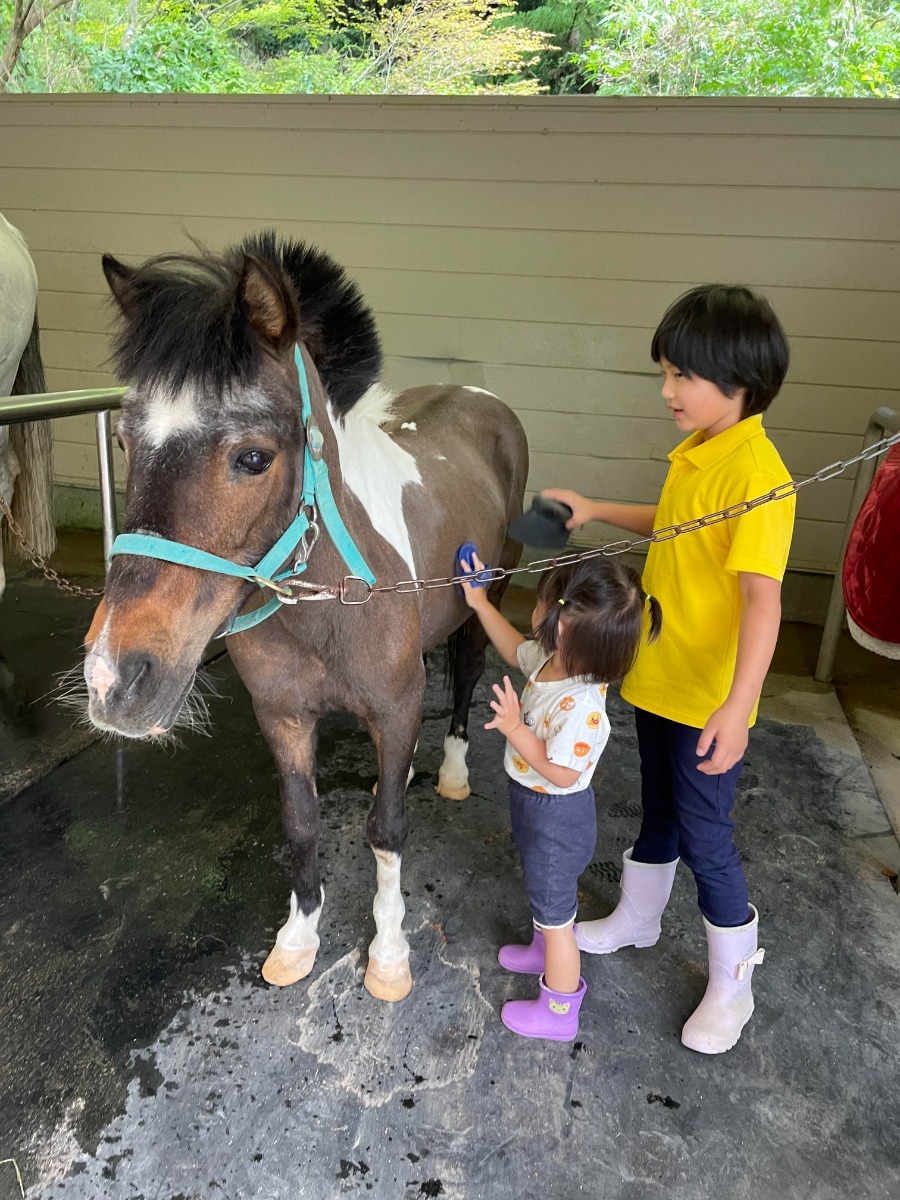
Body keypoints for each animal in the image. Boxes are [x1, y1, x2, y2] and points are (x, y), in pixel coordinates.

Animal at [82, 234, 528, 1003]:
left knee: (468, 675)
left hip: (485, 601)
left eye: (254, 457)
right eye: (124, 441)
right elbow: (301, 820)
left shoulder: (397, 705)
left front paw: (388, 955)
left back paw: (450, 771)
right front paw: (297, 939)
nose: (114, 678)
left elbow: (386, 831)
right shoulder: (283, 716)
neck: (327, 602)